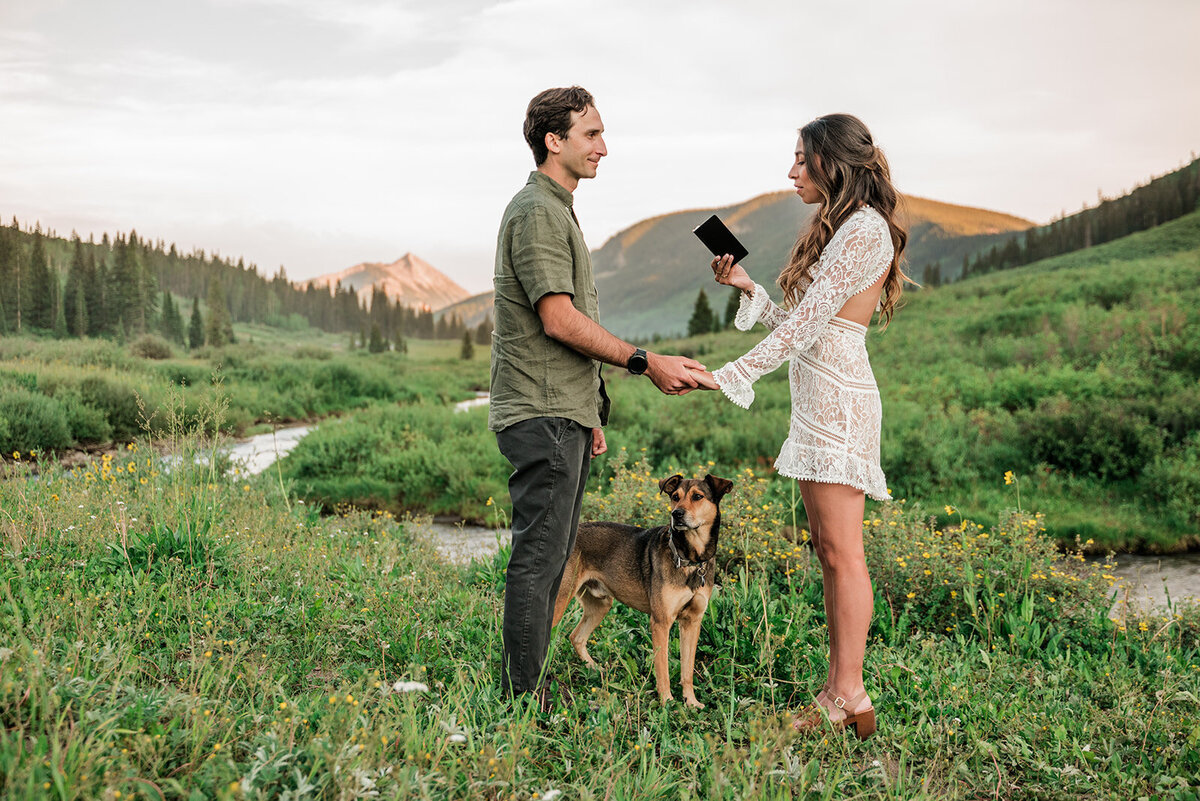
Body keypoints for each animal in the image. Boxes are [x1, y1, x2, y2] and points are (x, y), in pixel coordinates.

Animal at [549, 472, 729, 709]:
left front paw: (691, 702)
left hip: (600, 604)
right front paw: (667, 702)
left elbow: (687, 670)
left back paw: (595, 669)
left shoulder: (692, 622)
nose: (676, 514)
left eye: (698, 496)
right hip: (559, 602)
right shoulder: (661, 622)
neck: (690, 558)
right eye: (675, 496)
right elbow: (662, 669)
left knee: (576, 637)